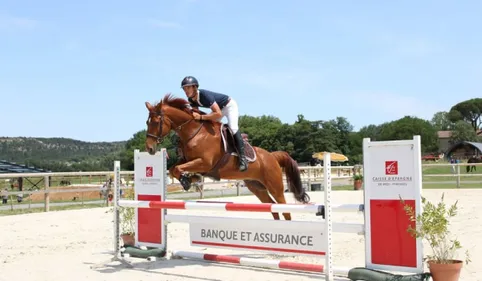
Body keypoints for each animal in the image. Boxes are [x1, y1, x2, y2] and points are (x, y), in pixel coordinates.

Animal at [143, 94, 310, 219]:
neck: (195, 133)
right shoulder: (188, 160)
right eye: (147, 122)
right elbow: (173, 169)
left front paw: (188, 180)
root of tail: (272, 156)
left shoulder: (204, 163)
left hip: (275, 187)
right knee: (272, 207)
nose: (149, 148)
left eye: (156, 122)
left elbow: (178, 168)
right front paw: (191, 179)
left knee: (285, 209)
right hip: (257, 187)